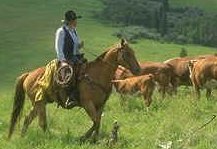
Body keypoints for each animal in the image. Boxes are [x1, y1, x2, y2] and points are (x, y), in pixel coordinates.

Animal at [8, 38, 141, 141]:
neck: (97, 75)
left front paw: (95, 139)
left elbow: (98, 122)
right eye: (127, 53)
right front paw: (84, 137)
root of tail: (28, 74)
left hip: (39, 102)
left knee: (28, 119)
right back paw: (48, 137)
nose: (138, 70)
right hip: (40, 103)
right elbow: (95, 122)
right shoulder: (88, 104)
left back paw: (23, 137)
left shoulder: (100, 105)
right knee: (42, 122)